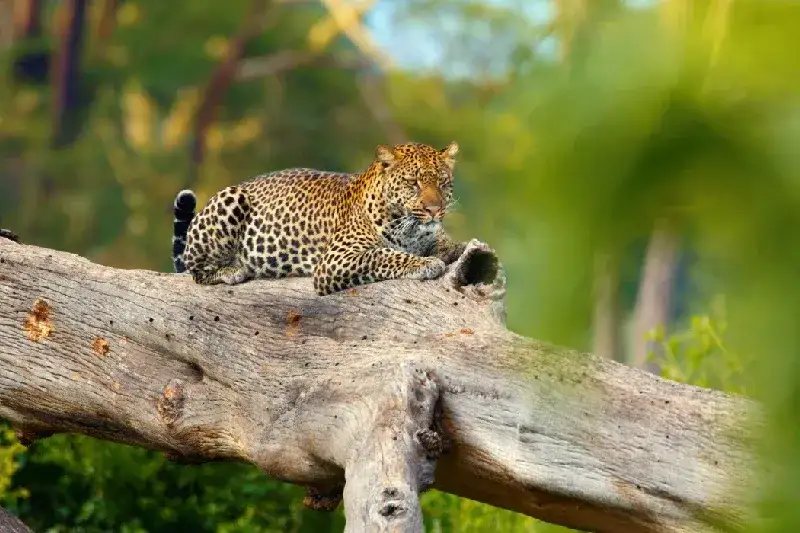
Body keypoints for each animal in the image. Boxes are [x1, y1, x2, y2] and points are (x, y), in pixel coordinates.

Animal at [171, 141, 468, 296]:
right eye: (412, 183)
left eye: (443, 183)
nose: (435, 210)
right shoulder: (335, 260)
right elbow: (383, 254)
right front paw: (425, 263)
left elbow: (443, 242)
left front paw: (457, 247)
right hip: (231, 198)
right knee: (197, 272)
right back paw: (231, 270)